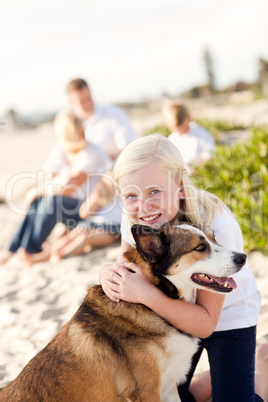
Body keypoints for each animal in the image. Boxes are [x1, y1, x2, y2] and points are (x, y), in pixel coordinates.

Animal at [0, 221, 247, 400]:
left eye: (215, 239)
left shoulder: (168, 387)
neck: (150, 306)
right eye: (200, 247)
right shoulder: (147, 391)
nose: (243, 257)